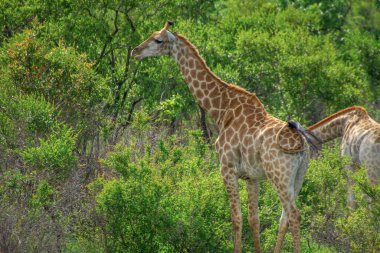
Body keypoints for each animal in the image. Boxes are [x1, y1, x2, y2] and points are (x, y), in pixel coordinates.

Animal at [132, 20, 314, 252]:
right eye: (151, 34)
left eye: (158, 40)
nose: (135, 51)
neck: (222, 110)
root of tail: (303, 147)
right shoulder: (251, 177)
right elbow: (254, 220)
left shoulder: (226, 168)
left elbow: (236, 218)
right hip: (298, 177)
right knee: (285, 218)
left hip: (279, 176)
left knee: (294, 214)